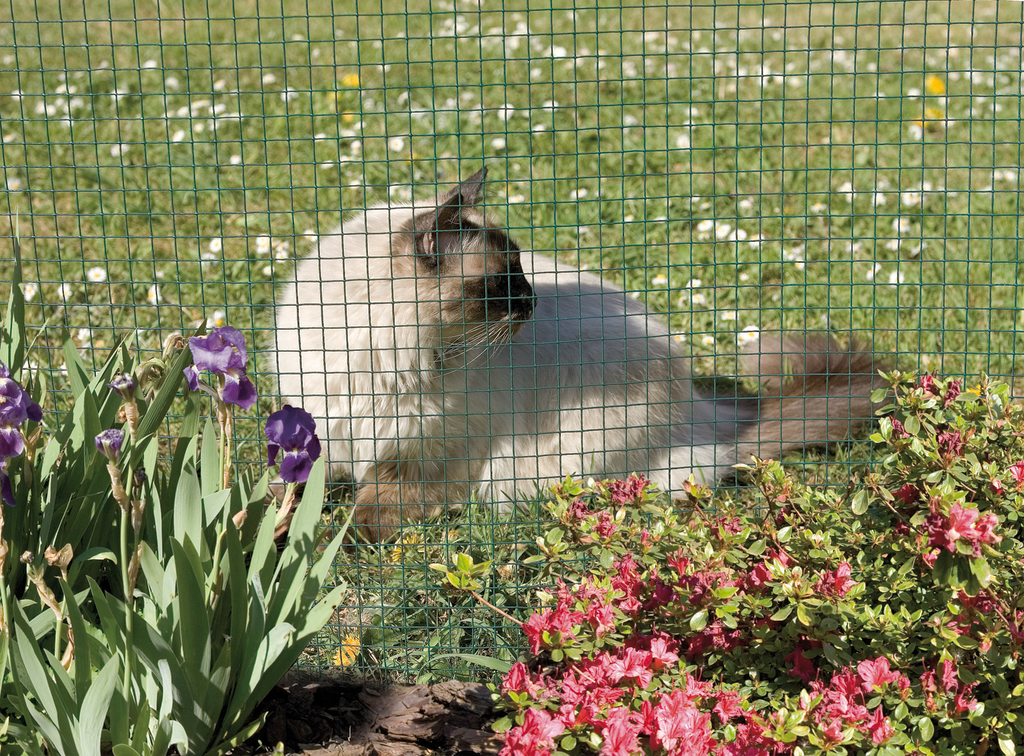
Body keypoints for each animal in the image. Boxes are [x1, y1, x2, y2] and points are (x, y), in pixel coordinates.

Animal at [272, 168, 880, 540]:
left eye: (521, 270)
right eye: (502, 284)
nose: (533, 301)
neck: (394, 359)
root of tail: (702, 411)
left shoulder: (421, 452)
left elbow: (375, 506)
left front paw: (339, 543)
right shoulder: (325, 433)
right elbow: (286, 494)